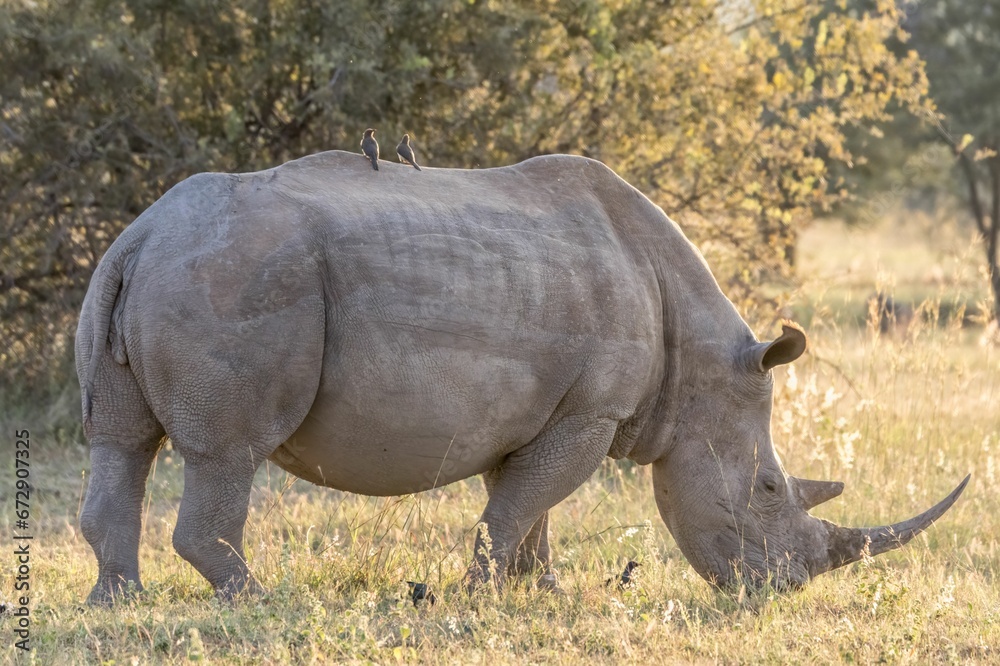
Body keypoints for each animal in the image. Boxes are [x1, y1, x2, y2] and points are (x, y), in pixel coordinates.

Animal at [76, 151, 968, 604]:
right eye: (771, 491)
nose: (780, 591)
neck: (700, 363)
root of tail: (140, 236)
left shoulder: (545, 408)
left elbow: (527, 504)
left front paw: (539, 591)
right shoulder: (594, 412)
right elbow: (519, 506)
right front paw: (476, 596)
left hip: (149, 272)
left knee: (121, 443)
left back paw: (120, 602)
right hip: (233, 280)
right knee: (229, 452)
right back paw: (256, 600)